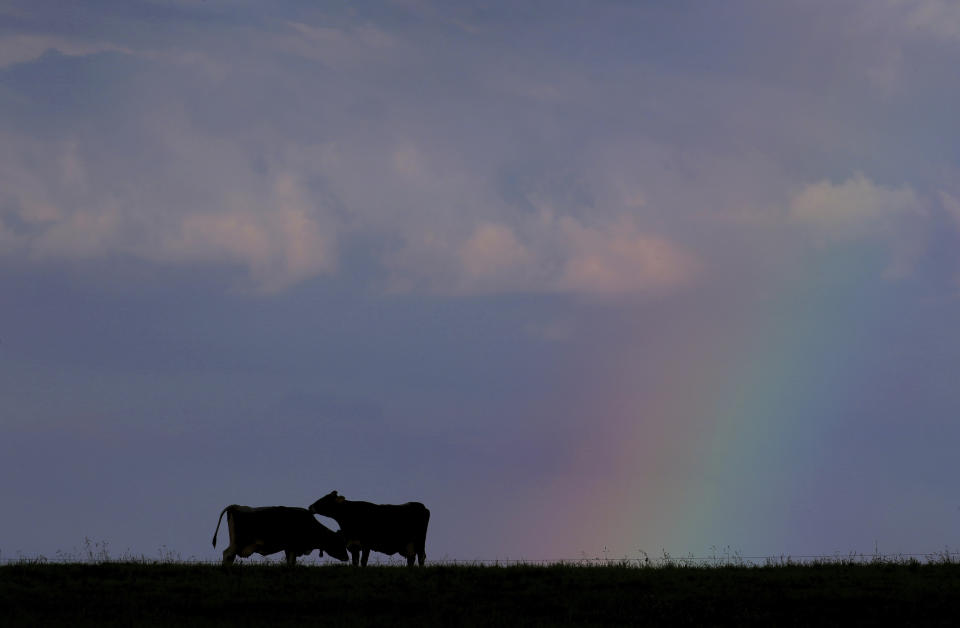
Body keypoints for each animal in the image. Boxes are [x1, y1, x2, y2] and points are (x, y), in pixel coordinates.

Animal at [210, 502, 348, 568]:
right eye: (340, 543)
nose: (347, 558)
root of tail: (236, 506)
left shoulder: (289, 548)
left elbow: (290, 562)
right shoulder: (293, 546)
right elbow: (291, 561)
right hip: (239, 541)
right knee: (227, 554)